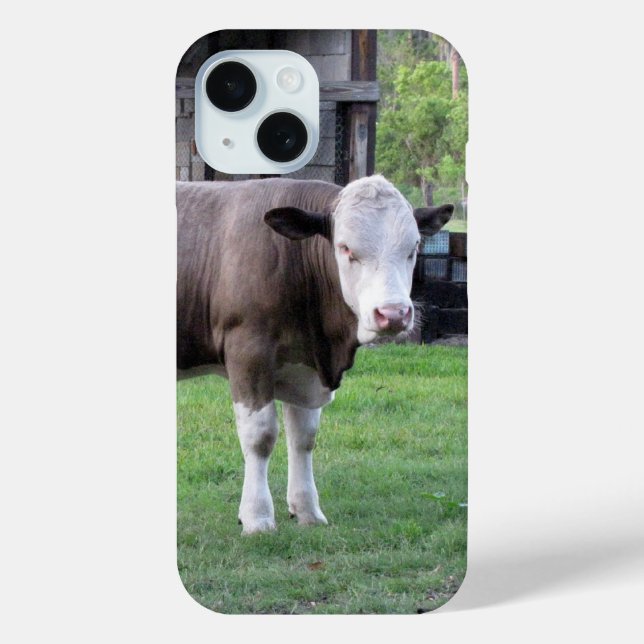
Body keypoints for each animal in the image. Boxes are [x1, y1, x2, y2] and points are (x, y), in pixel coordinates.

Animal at [177, 175, 453, 534]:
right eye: (345, 248)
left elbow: (303, 438)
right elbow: (260, 436)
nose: (393, 314)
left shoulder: (305, 364)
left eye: (414, 248)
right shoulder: (248, 351)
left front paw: (307, 510)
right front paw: (257, 517)